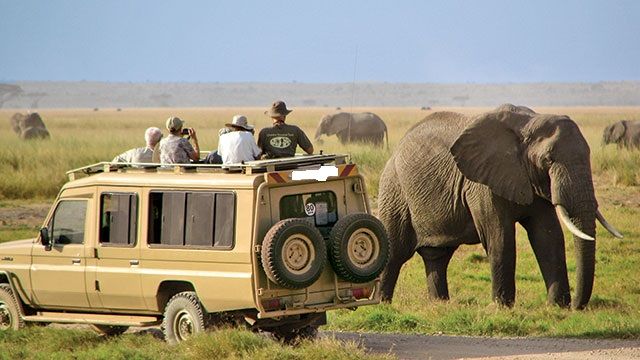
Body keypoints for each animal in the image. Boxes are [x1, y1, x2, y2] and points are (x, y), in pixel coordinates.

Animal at [378, 103, 624, 310]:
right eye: (548, 160)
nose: (576, 306)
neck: (529, 123)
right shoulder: (481, 183)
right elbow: (500, 237)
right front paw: (502, 307)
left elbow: (548, 236)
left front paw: (557, 307)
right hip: (394, 191)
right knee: (395, 252)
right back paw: (383, 304)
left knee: (437, 256)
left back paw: (440, 305)